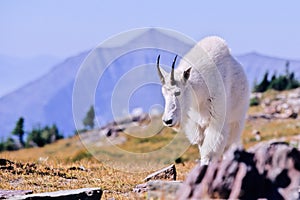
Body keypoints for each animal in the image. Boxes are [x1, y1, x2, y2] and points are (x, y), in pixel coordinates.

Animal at [156, 36, 250, 165]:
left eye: (178, 92)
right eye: (163, 93)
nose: (167, 120)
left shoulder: (217, 121)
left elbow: (210, 149)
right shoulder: (196, 124)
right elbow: (201, 145)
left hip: (236, 120)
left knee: (229, 144)